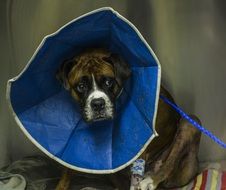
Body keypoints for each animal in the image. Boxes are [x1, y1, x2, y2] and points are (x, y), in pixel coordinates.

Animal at [55, 47, 201, 190]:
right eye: (81, 86)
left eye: (108, 82)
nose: (97, 103)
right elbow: (66, 169)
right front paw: (61, 186)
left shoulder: (140, 155)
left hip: (190, 123)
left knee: (169, 163)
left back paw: (151, 181)